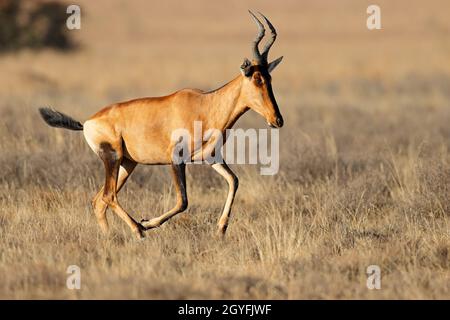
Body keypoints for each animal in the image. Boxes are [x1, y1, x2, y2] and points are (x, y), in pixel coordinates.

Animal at [39, 11, 284, 239]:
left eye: (270, 78)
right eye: (256, 78)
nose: (277, 120)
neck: (205, 104)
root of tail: (88, 122)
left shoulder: (210, 157)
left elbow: (234, 181)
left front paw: (221, 228)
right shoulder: (176, 158)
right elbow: (183, 201)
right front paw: (147, 222)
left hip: (127, 164)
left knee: (100, 201)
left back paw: (112, 236)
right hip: (112, 157)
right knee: (109, 196)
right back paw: (138, 229)